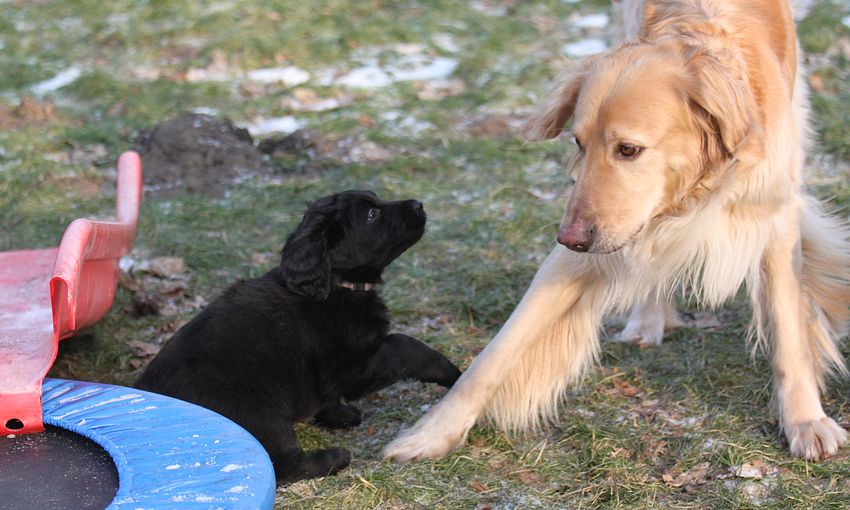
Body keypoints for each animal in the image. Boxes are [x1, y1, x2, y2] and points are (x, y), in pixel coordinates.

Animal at [136, 190, 461, 483]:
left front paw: (340, 416)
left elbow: (328, 397)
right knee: (283, 465)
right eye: (372, 214)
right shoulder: (355, 366)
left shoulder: (328, 376)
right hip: (260, 410)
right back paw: (333, 458)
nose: (419, 204)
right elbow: (404, 344)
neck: (336, 284)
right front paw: (451, 372)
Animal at [383, 0, 850, 462]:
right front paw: (432, 432)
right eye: (578, 143)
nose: (569, 237)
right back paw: (647, 319)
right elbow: (497, 352)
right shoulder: (585, 247)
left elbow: (789, 334)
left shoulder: (775, 223)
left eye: (628, 149)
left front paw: (806, 420)